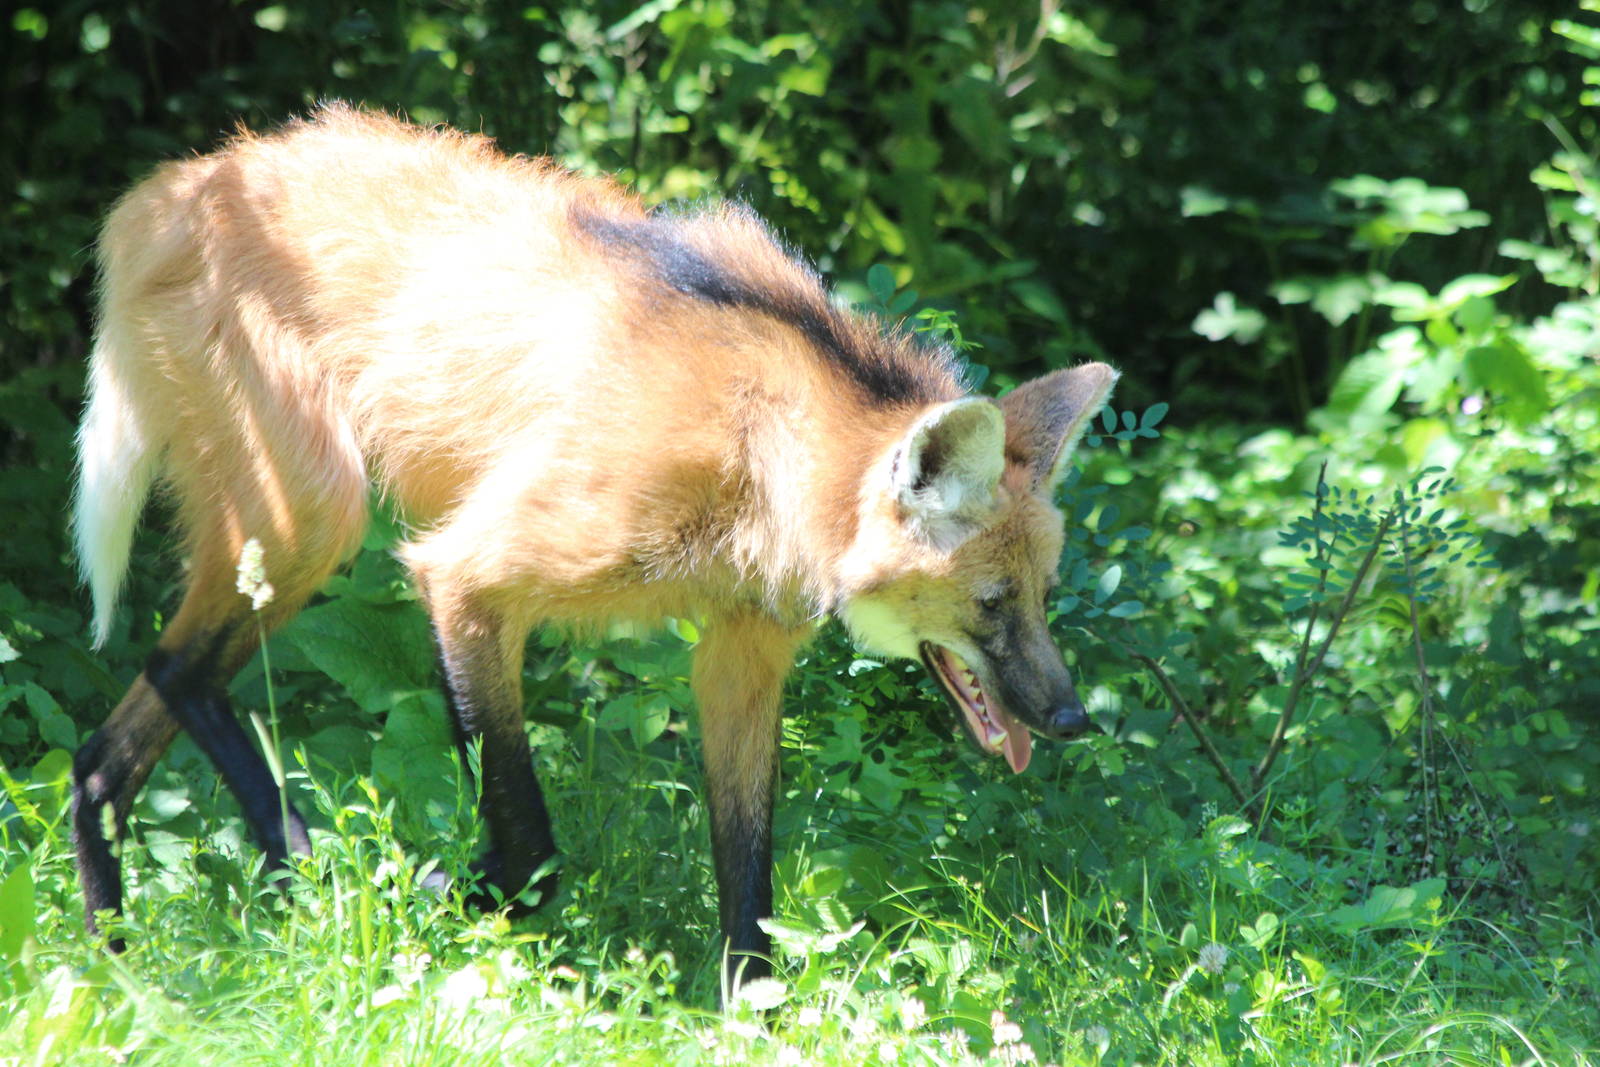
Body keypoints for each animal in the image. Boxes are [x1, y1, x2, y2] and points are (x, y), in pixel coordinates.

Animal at [70, 105, 1118, 989]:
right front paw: (451, 901)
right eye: (991, 603)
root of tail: (173, 187)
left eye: (1043, 596)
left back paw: (115, 964)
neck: (757, 451)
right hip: (318, 513)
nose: (1072, 719)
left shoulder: (741, 650)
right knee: (176, 670)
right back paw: (305, 860)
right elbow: (529, 846)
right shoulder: (466, 575)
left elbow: (749, 872)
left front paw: (750, 1012)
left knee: (99, 757)